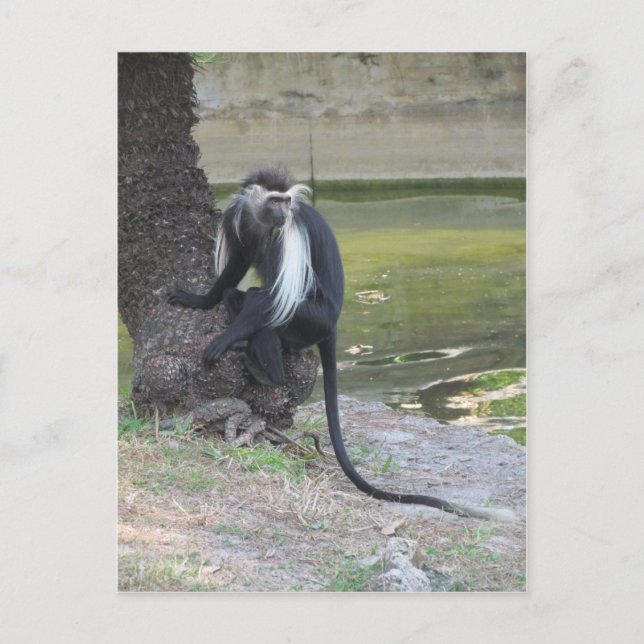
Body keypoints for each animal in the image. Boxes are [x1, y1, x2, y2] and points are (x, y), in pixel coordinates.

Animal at [169, 167, 513, 520]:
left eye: (286, 201)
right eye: (275, 201)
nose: (283, 213)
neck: (266, 224)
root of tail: (333, 320)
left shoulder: (290, 236)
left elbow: (273, 295)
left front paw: (225, 339)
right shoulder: (242, 222)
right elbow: (235, 267)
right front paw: (198, 299)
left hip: (312, 318)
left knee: (263, 300)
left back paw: (265, 368)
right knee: (237, 296)